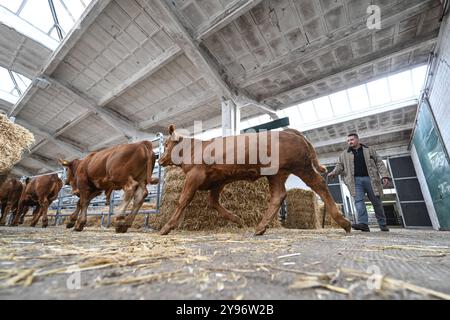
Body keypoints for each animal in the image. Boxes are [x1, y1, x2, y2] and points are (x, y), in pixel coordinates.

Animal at [158, 125, 352, 235]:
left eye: (166, 144)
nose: (159, 160)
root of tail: (289, 132)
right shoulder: (218, 181)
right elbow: (213, 203)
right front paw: (237, 219)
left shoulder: (194, 175)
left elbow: (183, 200)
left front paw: (166, 227)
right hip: (277, 174)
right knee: (278, 195)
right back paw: (261, 227)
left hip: (301, 167)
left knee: (319, 184)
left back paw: (343, 221)